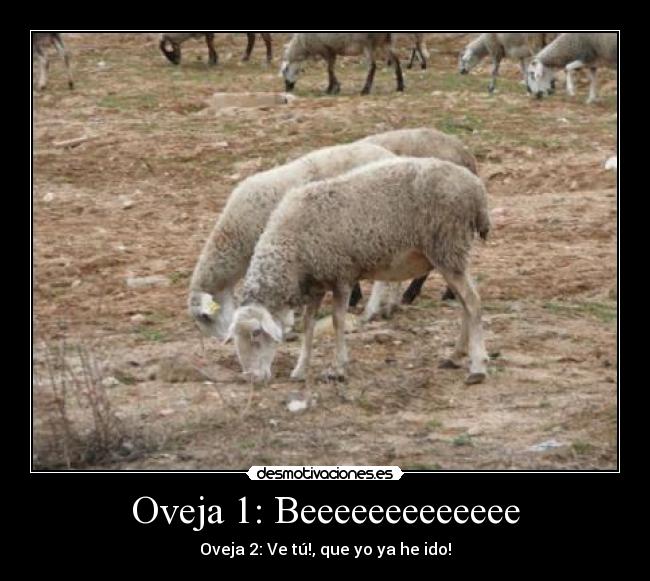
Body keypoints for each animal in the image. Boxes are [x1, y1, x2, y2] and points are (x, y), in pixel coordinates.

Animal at [227, 157, 491, 386]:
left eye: (256, 334)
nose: (251, 378)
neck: (291, 249)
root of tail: (476, 189)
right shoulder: (316, 284)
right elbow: (308, 325)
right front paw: (300, 369)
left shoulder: (341, 275)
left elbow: (337, 321)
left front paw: (338, 368)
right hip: (449, 254)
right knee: (465, 303)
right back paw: (455, 356)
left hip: (448, 246)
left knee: (473, 302)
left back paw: (477, 367)